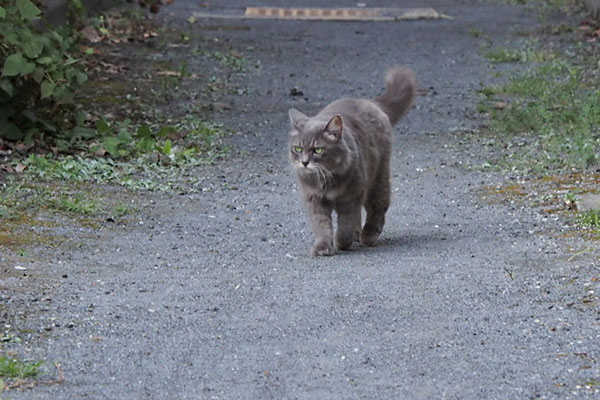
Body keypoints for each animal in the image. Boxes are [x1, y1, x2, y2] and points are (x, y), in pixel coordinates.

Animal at [288, 67, 414, 256]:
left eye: (318, 150)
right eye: (297, 149)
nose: (304, 162)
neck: (326, 179)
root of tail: (369, 102)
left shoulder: (350, 197)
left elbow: (346, 224)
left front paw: (341, 242)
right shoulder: (314, 199)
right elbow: (321, 225)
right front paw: (322, 247)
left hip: (378, 177)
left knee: (378, 206)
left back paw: (368, 234)